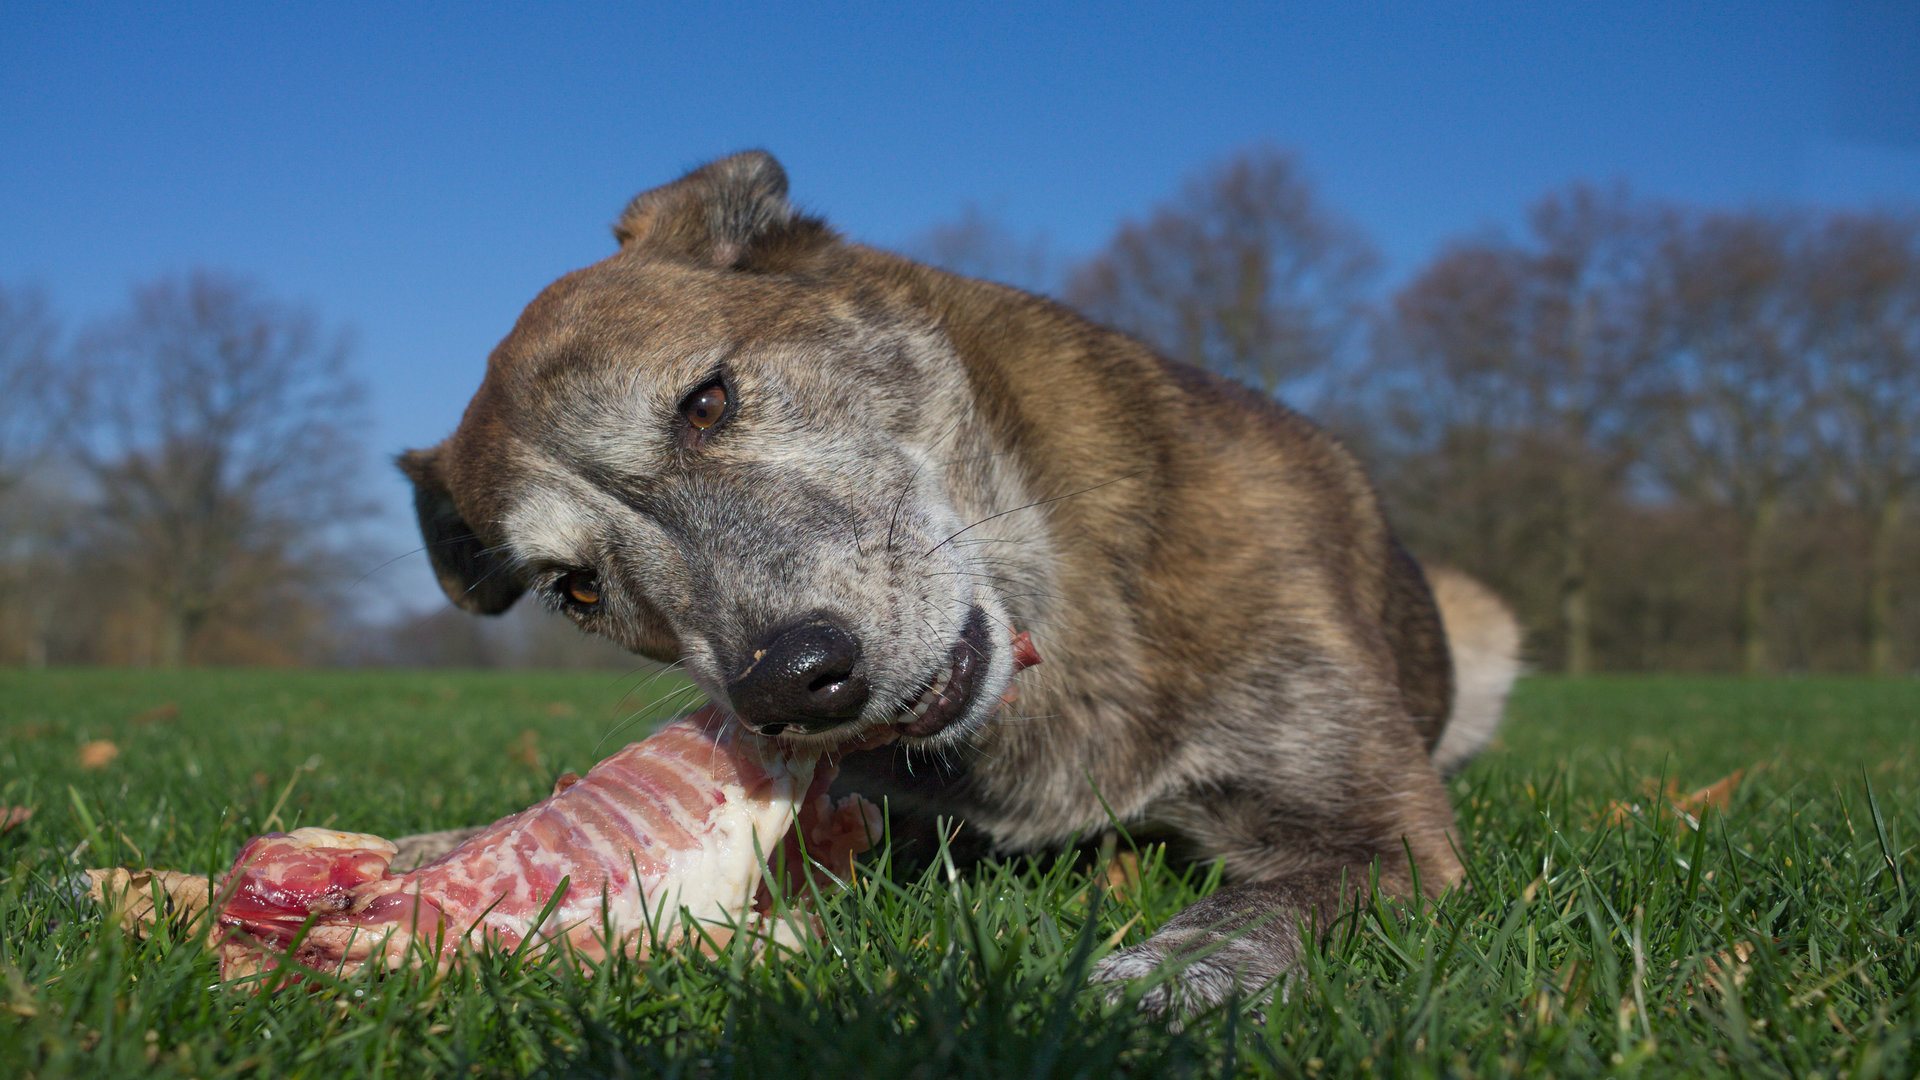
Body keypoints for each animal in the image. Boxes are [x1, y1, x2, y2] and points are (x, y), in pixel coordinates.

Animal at [397, 151, 1520, 1014]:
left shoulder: (1377, 832)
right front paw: (407, 866)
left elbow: (1246, 913)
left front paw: (1138, 994)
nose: (790, 684)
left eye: (706, 401)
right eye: (575, 588)